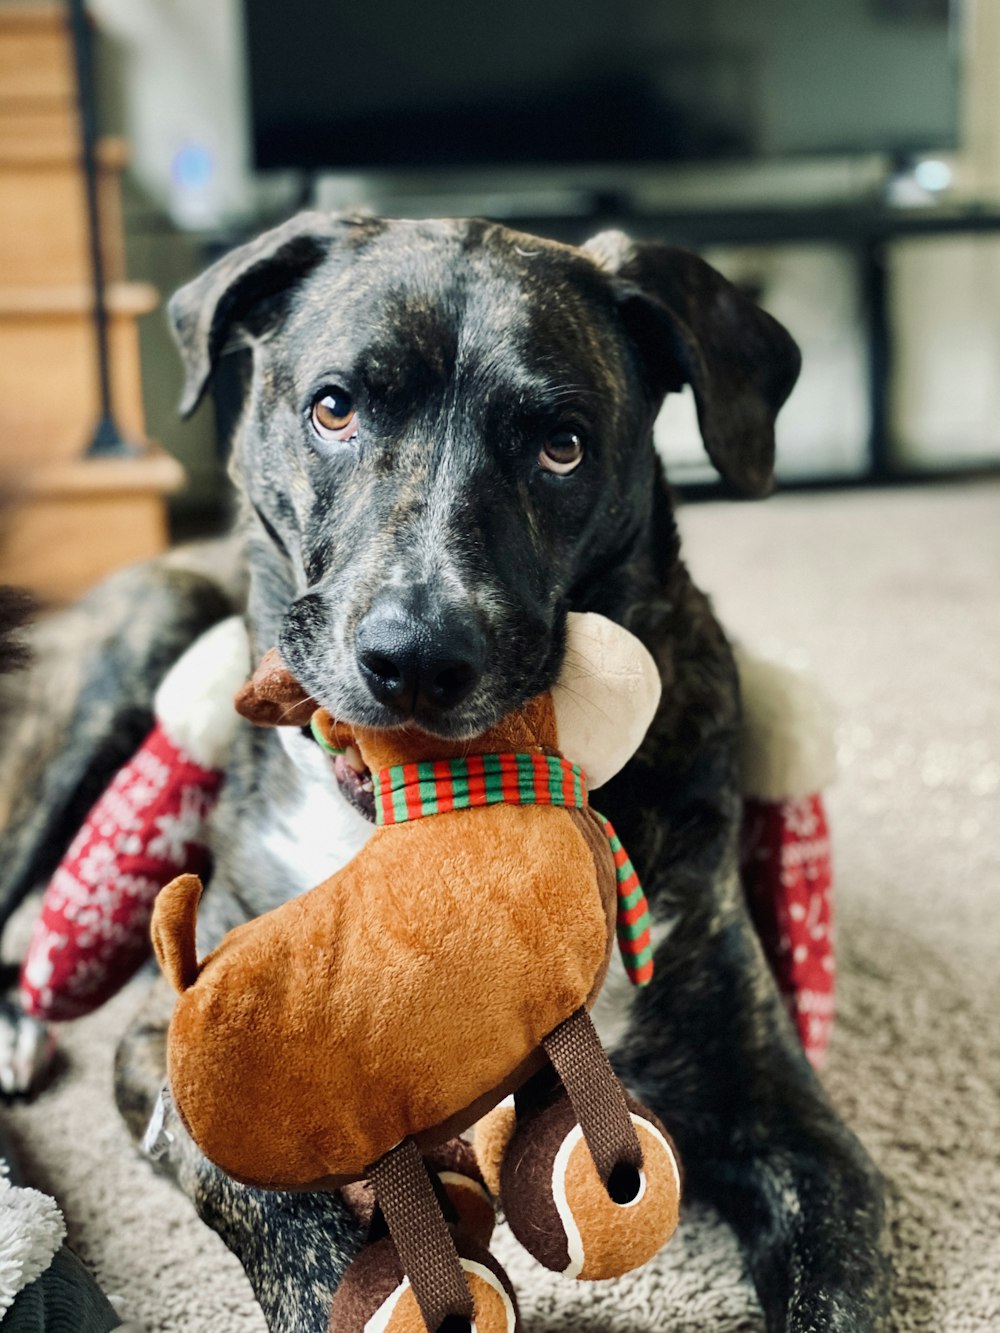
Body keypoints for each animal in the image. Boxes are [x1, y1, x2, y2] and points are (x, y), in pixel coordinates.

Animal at [0, 213, 890, 1327]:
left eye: (562, 446)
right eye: (333, 407)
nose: (417, 658)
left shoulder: (781, 1112)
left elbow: (836, 1282)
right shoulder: (179, 1044)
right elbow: (288, 1221)